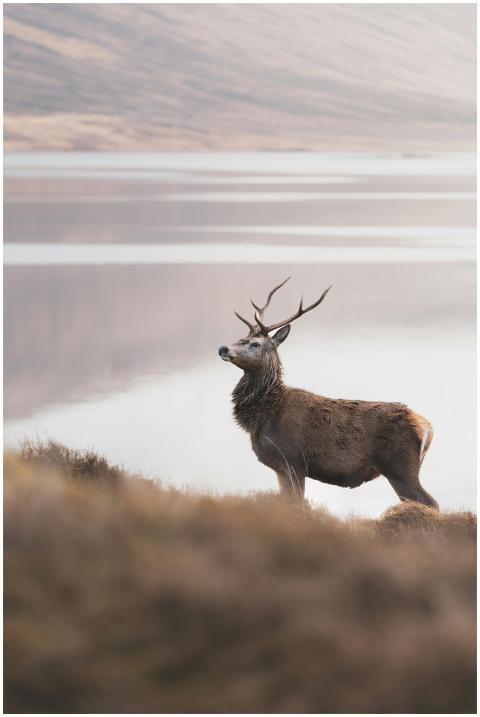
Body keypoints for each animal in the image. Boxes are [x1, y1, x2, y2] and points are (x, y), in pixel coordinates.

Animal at [218, 278, 438, 509]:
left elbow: (298, 503)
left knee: (430, 502)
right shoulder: (280, 468)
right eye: (240, 338)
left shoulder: (293, 460)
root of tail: (427, 427)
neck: (265, 414)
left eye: (255, 344)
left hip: (400, 467)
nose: (223, 348)